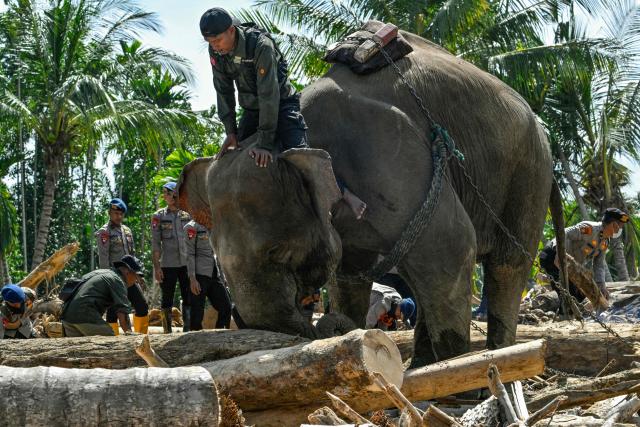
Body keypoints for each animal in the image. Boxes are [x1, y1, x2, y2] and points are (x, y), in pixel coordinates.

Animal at [177, 30, 563, 366]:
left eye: (279, 252)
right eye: (220, 265)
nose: (318, 321)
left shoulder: (393, 159)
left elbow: (452, 247)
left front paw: (456, 375)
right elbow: (349, 277)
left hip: (528, 170)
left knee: (505, 265)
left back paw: (495, 358)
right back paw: (422, 363)